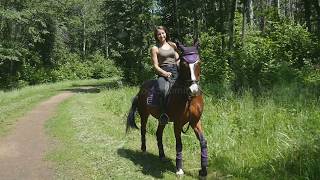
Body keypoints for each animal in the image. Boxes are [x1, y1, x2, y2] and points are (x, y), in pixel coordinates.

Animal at [125, 40, 208, 176]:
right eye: (184, 64)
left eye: (198, 62)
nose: (194, 90)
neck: (188, 98)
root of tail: (142, 88)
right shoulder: (178, 123)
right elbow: (179, 144)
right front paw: (179, 169)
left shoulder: (195, 122)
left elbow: (203, 142)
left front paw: (204, 170)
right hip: (144, 114)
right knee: (143, 130)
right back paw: (144, 150)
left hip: (162, 119)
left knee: (158, 134)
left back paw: (162, 155)